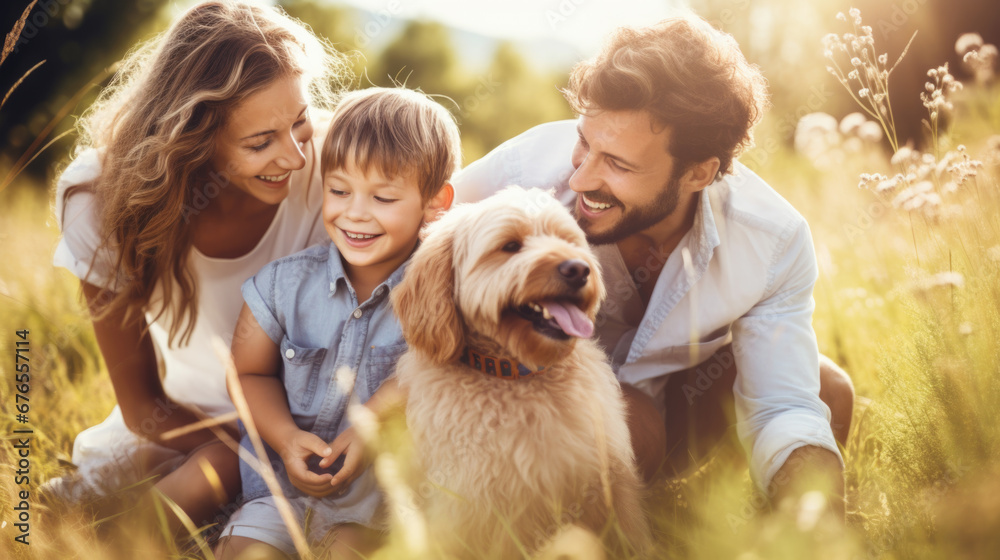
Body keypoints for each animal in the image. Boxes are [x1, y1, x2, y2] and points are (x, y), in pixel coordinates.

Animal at [390, 186, 656, 556]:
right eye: (510, 246)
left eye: (566, 240)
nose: (578, 269)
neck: (518, 375)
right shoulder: (484, 507)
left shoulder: (609, 478)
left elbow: (632, 535)